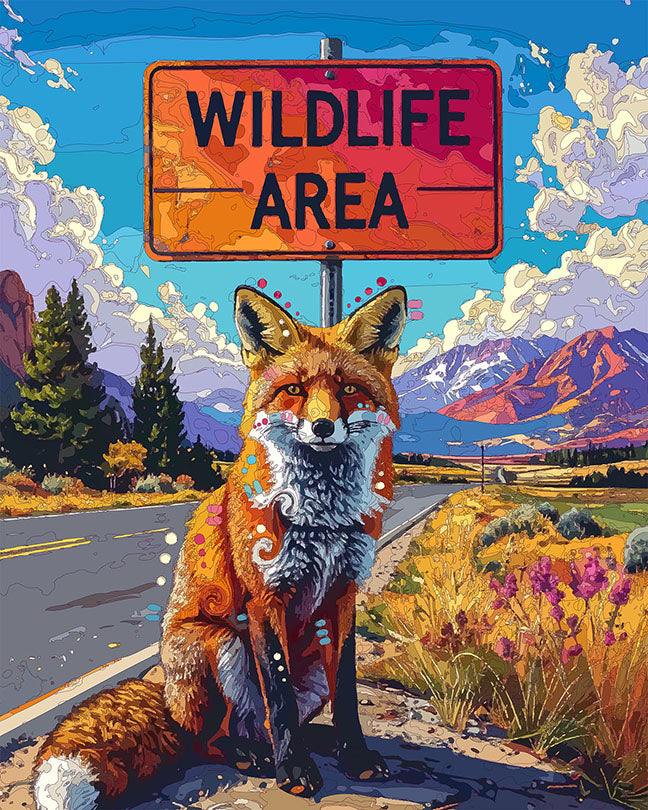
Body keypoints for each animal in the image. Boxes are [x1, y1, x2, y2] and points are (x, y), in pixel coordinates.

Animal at [33, 283, 407, 809]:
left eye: (348, 390)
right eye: (294, 389)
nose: (322, 428)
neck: (320, 517)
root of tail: (167, 699)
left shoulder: (344, 594)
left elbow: (348, 692)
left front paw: (353, 755)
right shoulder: (265, 597)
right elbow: (279, 695)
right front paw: (294, 771)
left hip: (310, 658)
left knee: (270, 721)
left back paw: (310, 744)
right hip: (220, 641)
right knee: (217, 736)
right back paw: (256, 756)